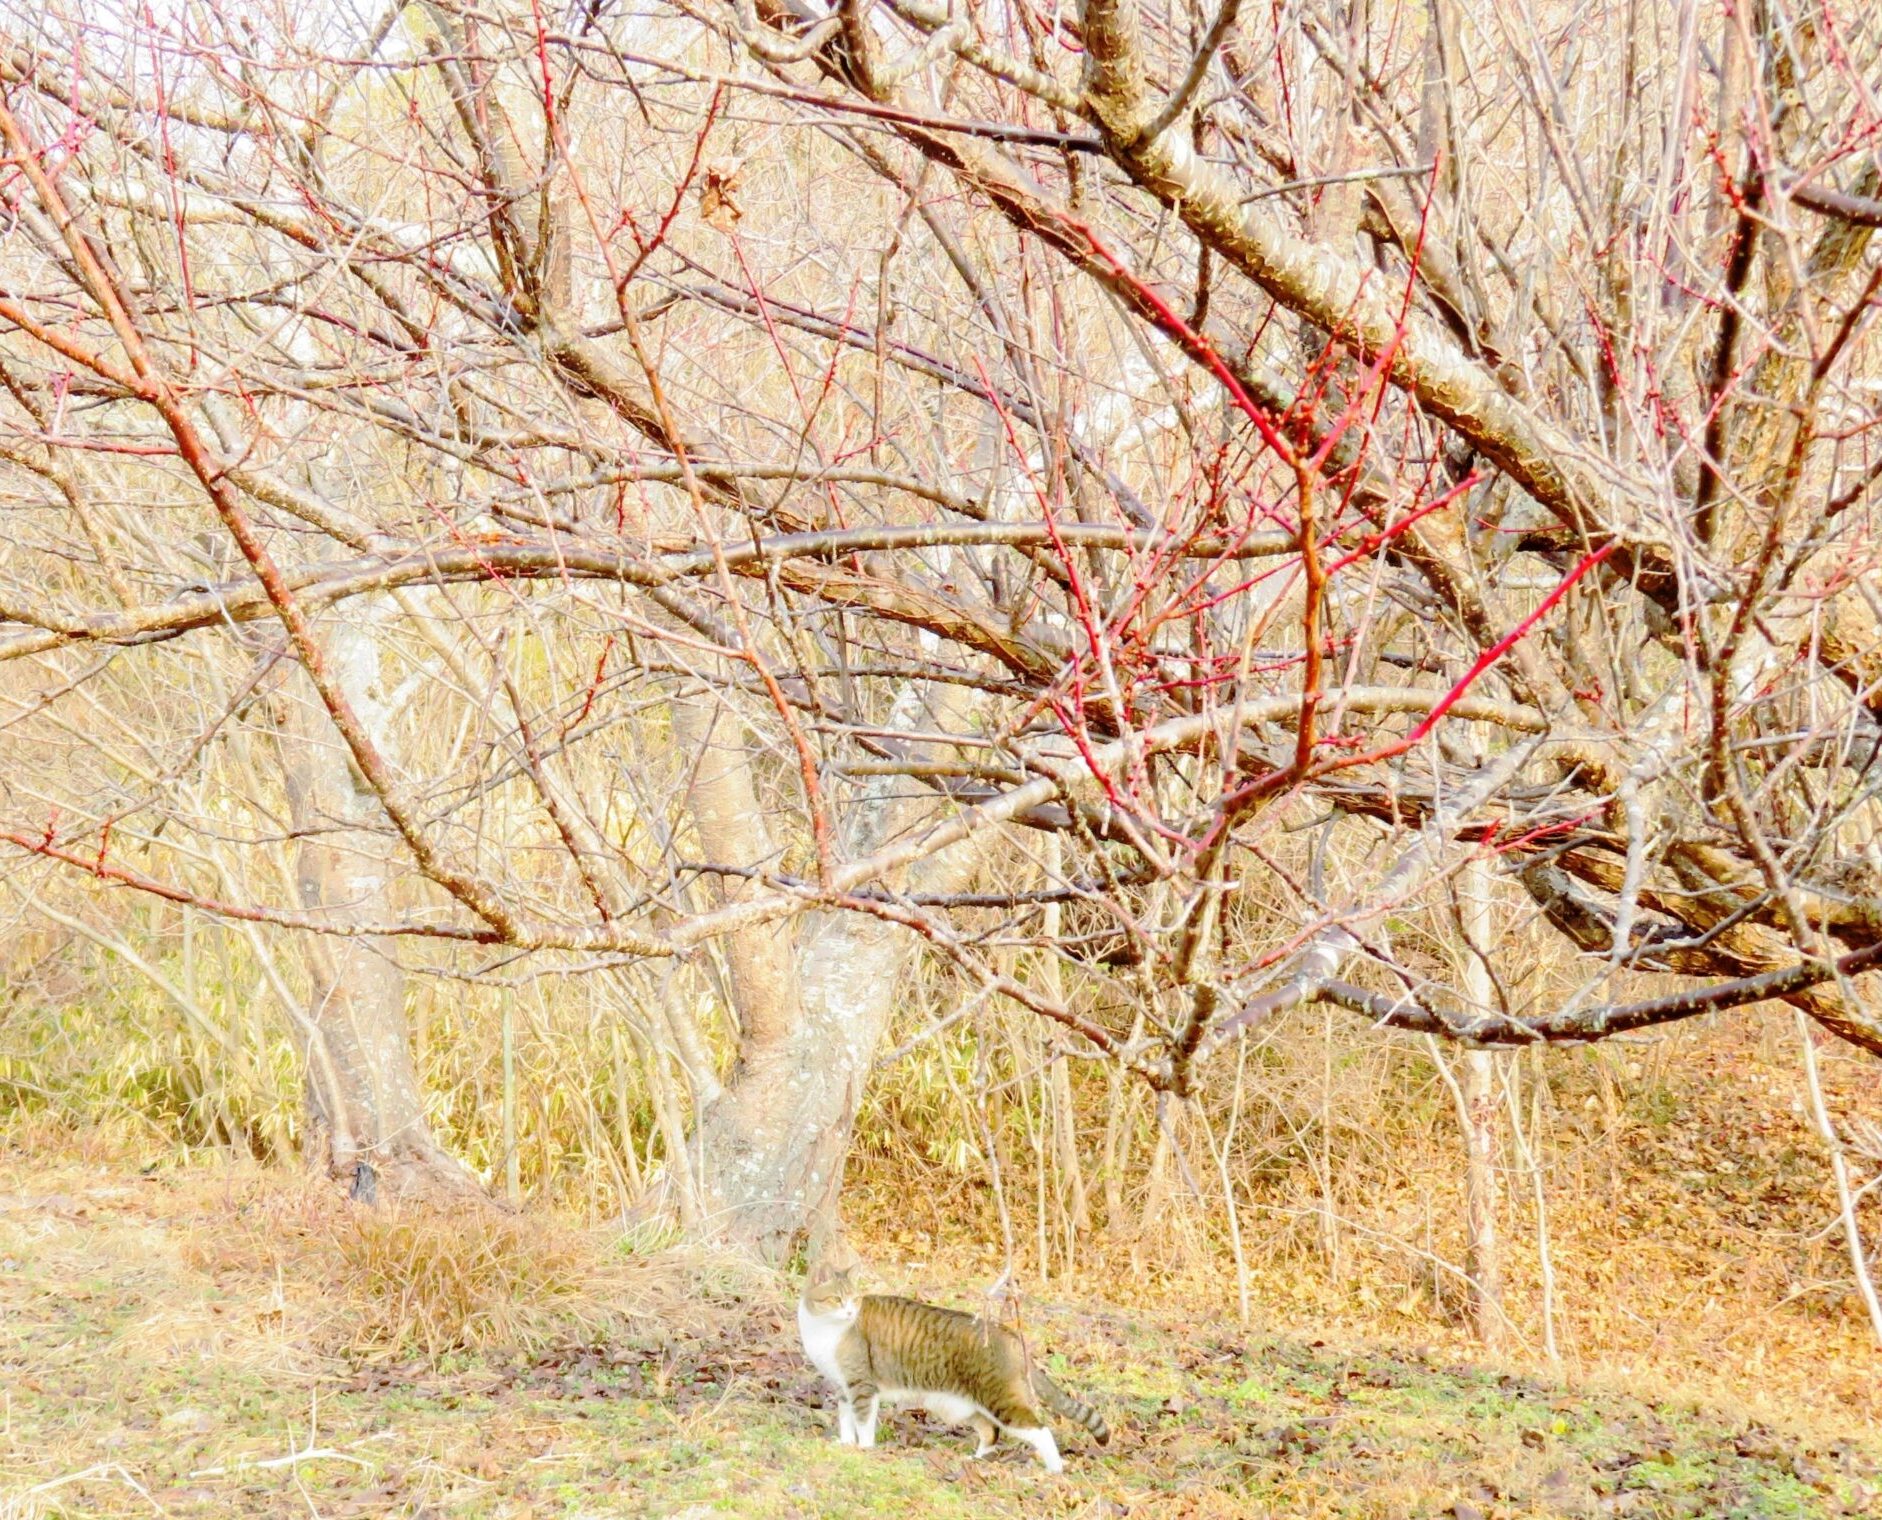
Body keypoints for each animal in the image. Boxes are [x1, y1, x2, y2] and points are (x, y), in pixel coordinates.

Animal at [790, 1271, 1099, 1474]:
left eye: (854, 1299)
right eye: (836, 1299)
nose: (850, 1313)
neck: (822, 1328)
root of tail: (1008, 1332)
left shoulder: (861, 1385)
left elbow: (863, 1421)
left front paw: (864, 1450)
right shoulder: (842, 1386)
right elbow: (846, 1419)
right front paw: (845, 1444)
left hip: (1001, 1399)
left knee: (1039, 1429)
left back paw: (1055, 1470)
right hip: (964, 1406)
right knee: (991, 1432)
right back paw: (974, 1461)